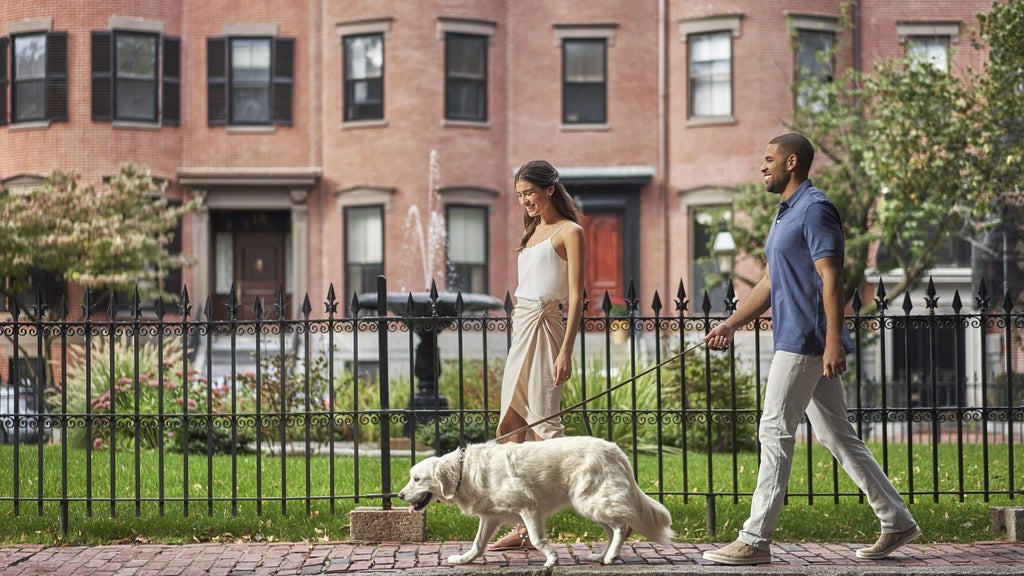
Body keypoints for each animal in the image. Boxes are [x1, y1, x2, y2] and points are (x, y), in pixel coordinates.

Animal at [395, 434, 675, 565]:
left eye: (417, 479)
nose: (399, 495)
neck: (464, 471)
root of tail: (615, 449)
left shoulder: (529, 507)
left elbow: (538, 540)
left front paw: (551, 559)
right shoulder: (490, 517)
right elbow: (478, 544)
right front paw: (464, 559)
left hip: (590, 502)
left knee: (621, 527)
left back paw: (610, 556)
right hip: (589, 505)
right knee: (613, 529)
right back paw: (603, 556)